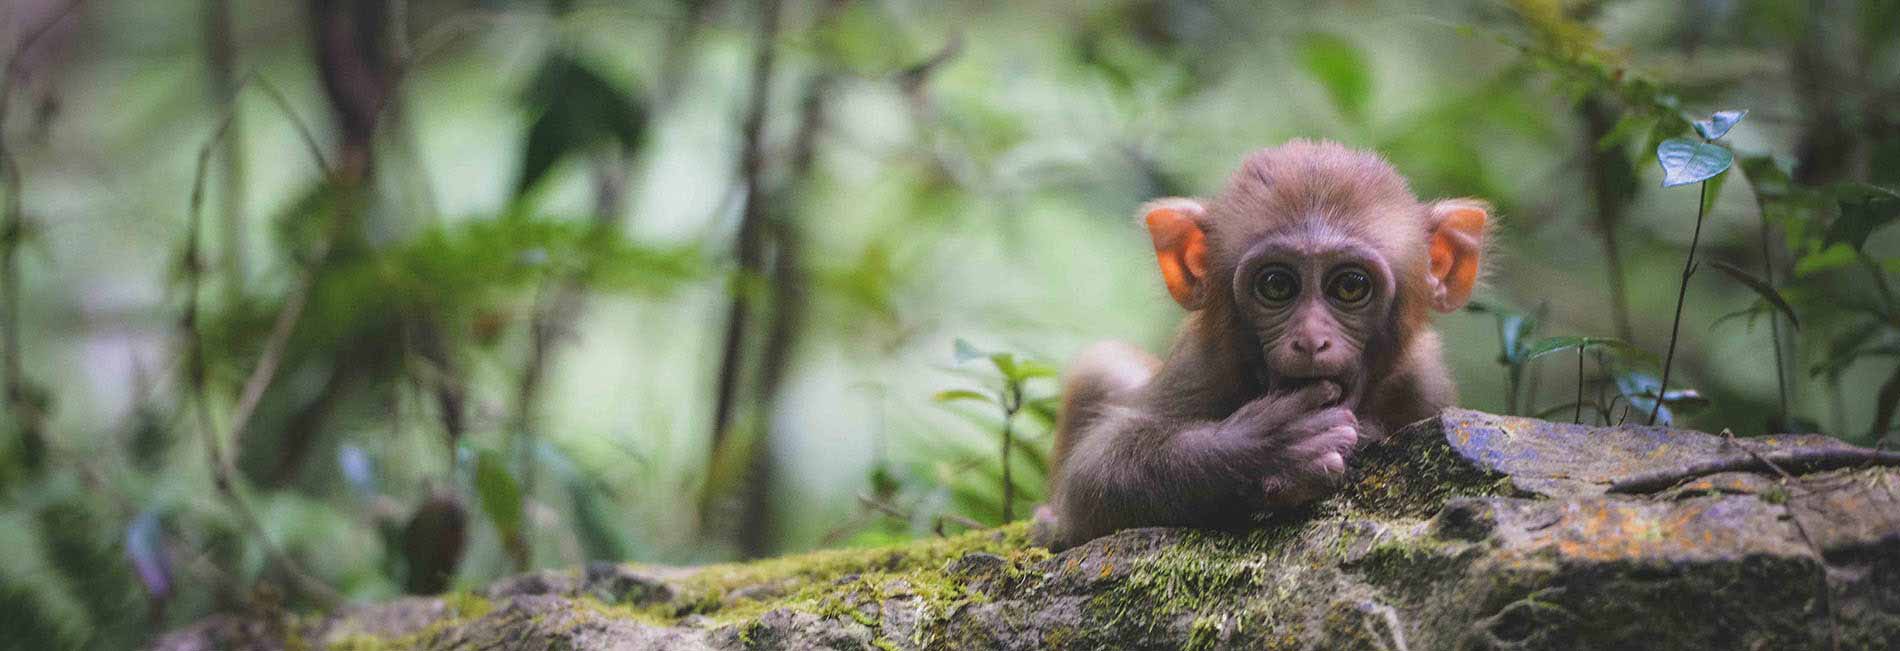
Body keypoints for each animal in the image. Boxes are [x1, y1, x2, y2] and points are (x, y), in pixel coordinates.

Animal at [1033, 141, 1489, 550]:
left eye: (1350, 285)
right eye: (1276, 284)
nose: (1311, 340)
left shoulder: (1425, 384)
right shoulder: (1200, 365)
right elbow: (1090, 478)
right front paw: (1267, 448)